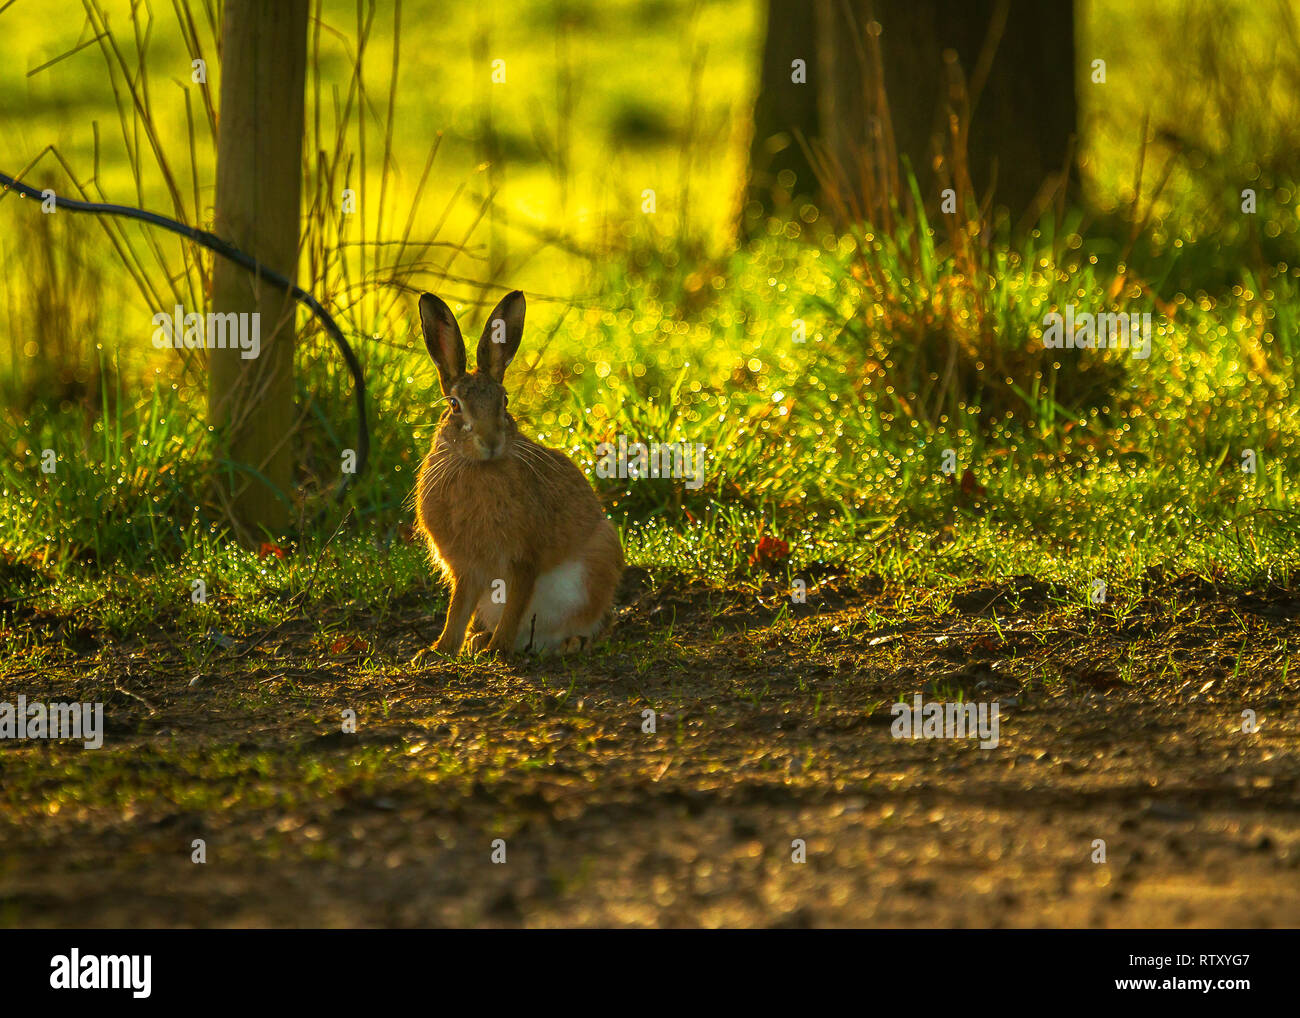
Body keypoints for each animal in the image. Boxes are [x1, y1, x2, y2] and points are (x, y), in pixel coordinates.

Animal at [415, 289, 624, 656]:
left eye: (505, 401)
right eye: (454, 405)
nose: (491, 442)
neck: (478, 468)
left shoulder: (524, 558)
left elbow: (515, 602)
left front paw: (497, 650)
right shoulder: (467, 568)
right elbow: (458, 608)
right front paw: (439, 649)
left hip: (598, 559)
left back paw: (567, 643)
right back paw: (479, 641)